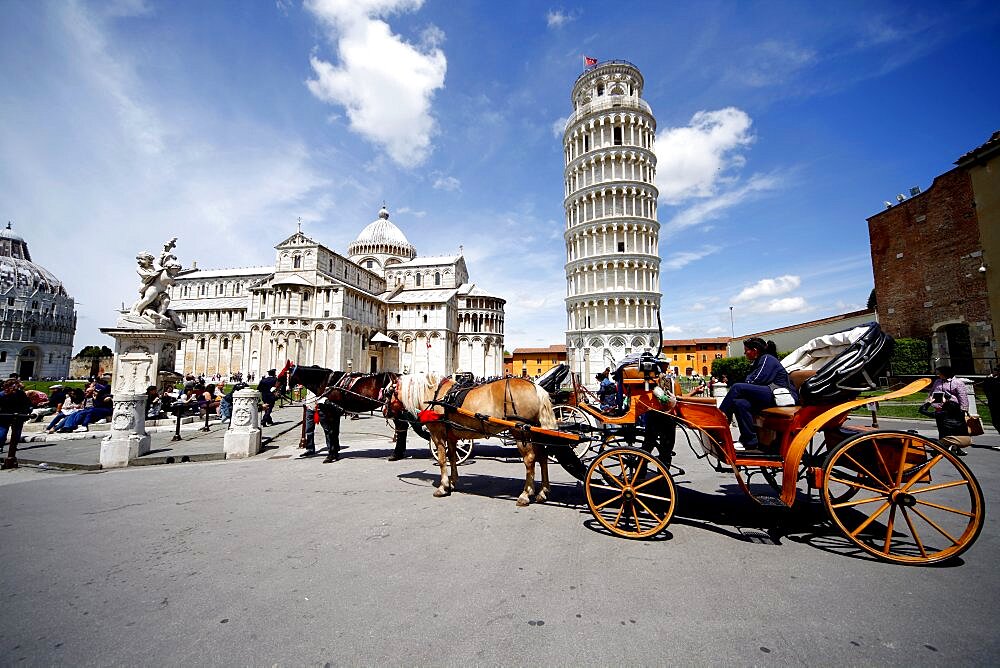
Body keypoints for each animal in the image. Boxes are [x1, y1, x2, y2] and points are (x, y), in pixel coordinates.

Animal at [384, 374, 560, 504]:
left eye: (386, 392)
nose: (385, 411)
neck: (436, 395)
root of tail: (536, 387)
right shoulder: (451, 436)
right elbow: (452, 457)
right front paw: (452, 482)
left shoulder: (437, 433)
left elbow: (441, 459)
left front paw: (443, 486)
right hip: (535, 432)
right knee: (543, 456)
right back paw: (543, 491)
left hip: (520, 431)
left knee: (530, 459)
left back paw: (525, 494)